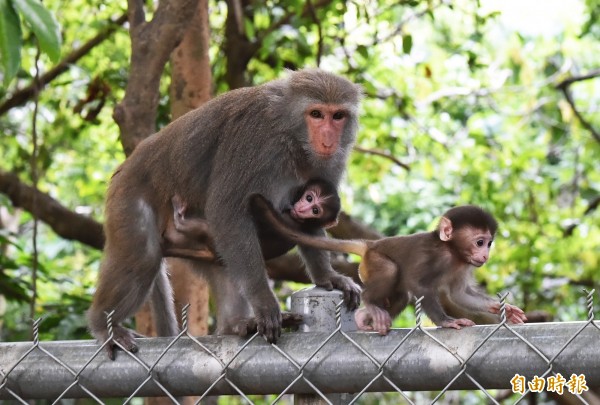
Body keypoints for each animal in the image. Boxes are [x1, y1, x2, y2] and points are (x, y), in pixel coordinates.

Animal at [251, 196, 528, 334]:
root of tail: (371, 245)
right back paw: (371, 305)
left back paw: (365, 316)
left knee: (402, 294)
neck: (452, 252)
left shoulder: (464, 265)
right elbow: (419, 284)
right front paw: (447, 322)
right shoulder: (433, 256)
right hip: (373, 262)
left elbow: (459, 294)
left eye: (489, 243)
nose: (485, 255)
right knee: (391, 270)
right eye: (479, 242)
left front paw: (502, 308)